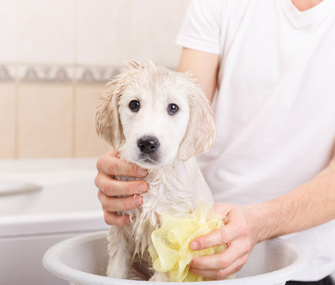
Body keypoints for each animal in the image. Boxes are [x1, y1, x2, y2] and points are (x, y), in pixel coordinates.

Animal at [96, 60, 218, 282]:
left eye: (173, 108)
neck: (154, 176)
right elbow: (117, 268)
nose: (147, 143)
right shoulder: (120, 225)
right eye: (134, 104)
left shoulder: (170, 232)